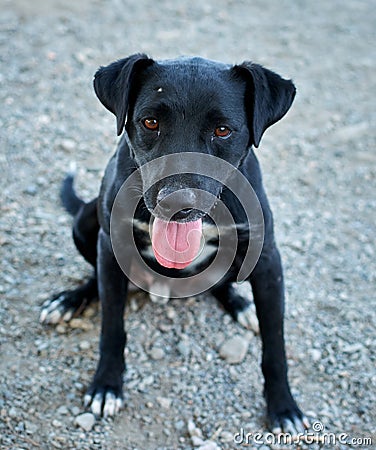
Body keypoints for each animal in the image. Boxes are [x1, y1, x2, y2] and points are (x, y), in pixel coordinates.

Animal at [41, 54, 308, 434]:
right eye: (150, 122)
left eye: (223, 130)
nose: (178, 202)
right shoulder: (111, 244)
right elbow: (112, 327)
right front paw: (106, 385)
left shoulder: (268, 259)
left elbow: (275, 346)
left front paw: (284, 406)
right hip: (86, 221)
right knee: (97, 278)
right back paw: (68, 300)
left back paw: (241, 305)